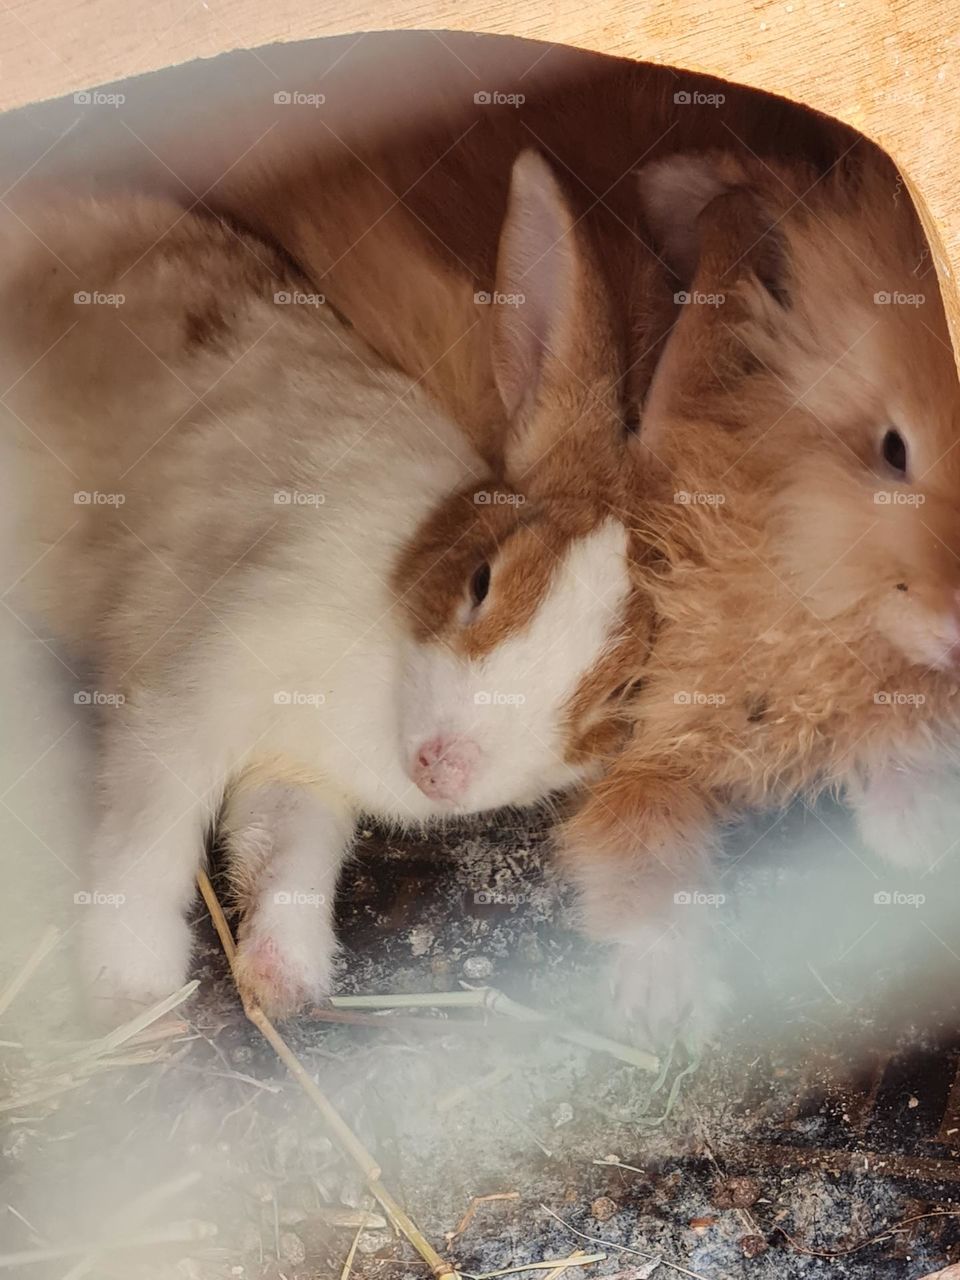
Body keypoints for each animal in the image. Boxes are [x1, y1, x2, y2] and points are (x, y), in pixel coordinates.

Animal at [0, 152, 652, 1022]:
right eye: (480, 581)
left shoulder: (297, 773)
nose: (444, 770)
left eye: (618, 699)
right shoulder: (188, 693)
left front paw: (287, 981)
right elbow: (149, 833)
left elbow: (290, 861)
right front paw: (133, 987)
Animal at [554, 148, 960, 1045]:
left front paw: (918, 838)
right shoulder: (660, 727)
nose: (955, 625)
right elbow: (640, 838)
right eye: (892, 450)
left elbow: (895, 742)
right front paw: (664, 1002)